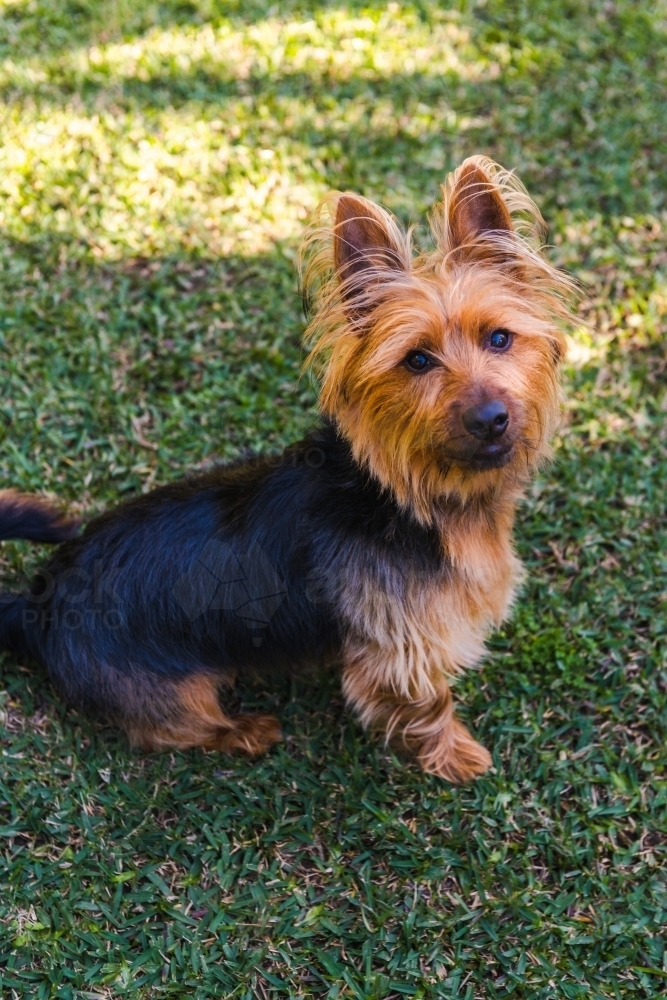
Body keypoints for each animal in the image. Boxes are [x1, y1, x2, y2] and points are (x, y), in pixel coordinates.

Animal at [0, 156, 576, 780]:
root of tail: (35, 602)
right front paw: (455, 756)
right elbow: (429, 703)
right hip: (164, 689)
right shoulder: (403, 651)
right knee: (175, 729)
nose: (491, 418)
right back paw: (248, 731)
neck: (409, 498)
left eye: (499, 337)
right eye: (417, 360)